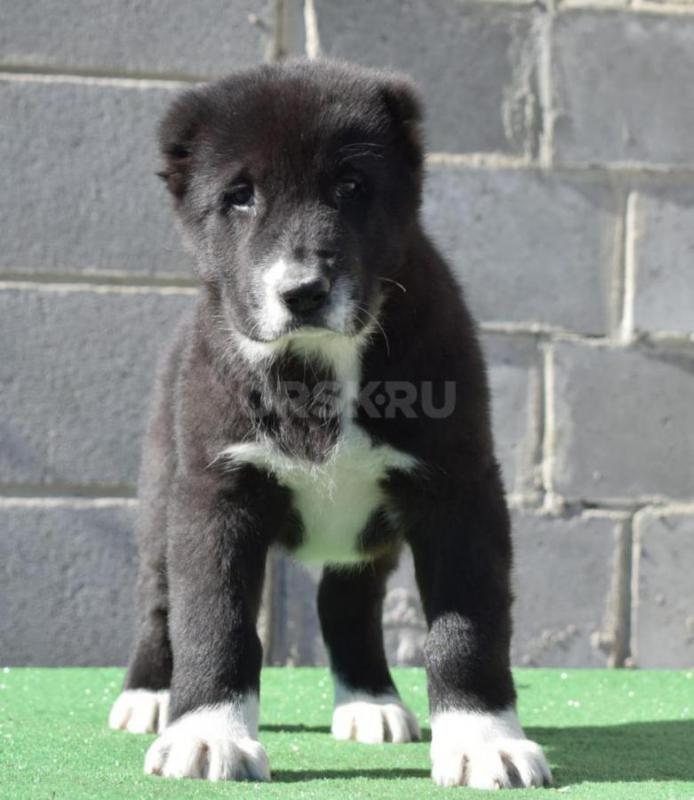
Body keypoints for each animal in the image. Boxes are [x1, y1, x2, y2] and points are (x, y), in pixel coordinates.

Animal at [109, 59, 556, 792]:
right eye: (239, 197)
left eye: (351, 187)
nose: (303, 291)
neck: (316, 363)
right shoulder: (215, 491)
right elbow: (214, 618)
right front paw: (207, 734)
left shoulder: (460, 490)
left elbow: (467, 627)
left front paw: (485, 743)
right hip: (159, 488)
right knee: (159, 598)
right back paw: (148, 695)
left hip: (362, 542)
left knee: (344, 606)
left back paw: (371, 702)